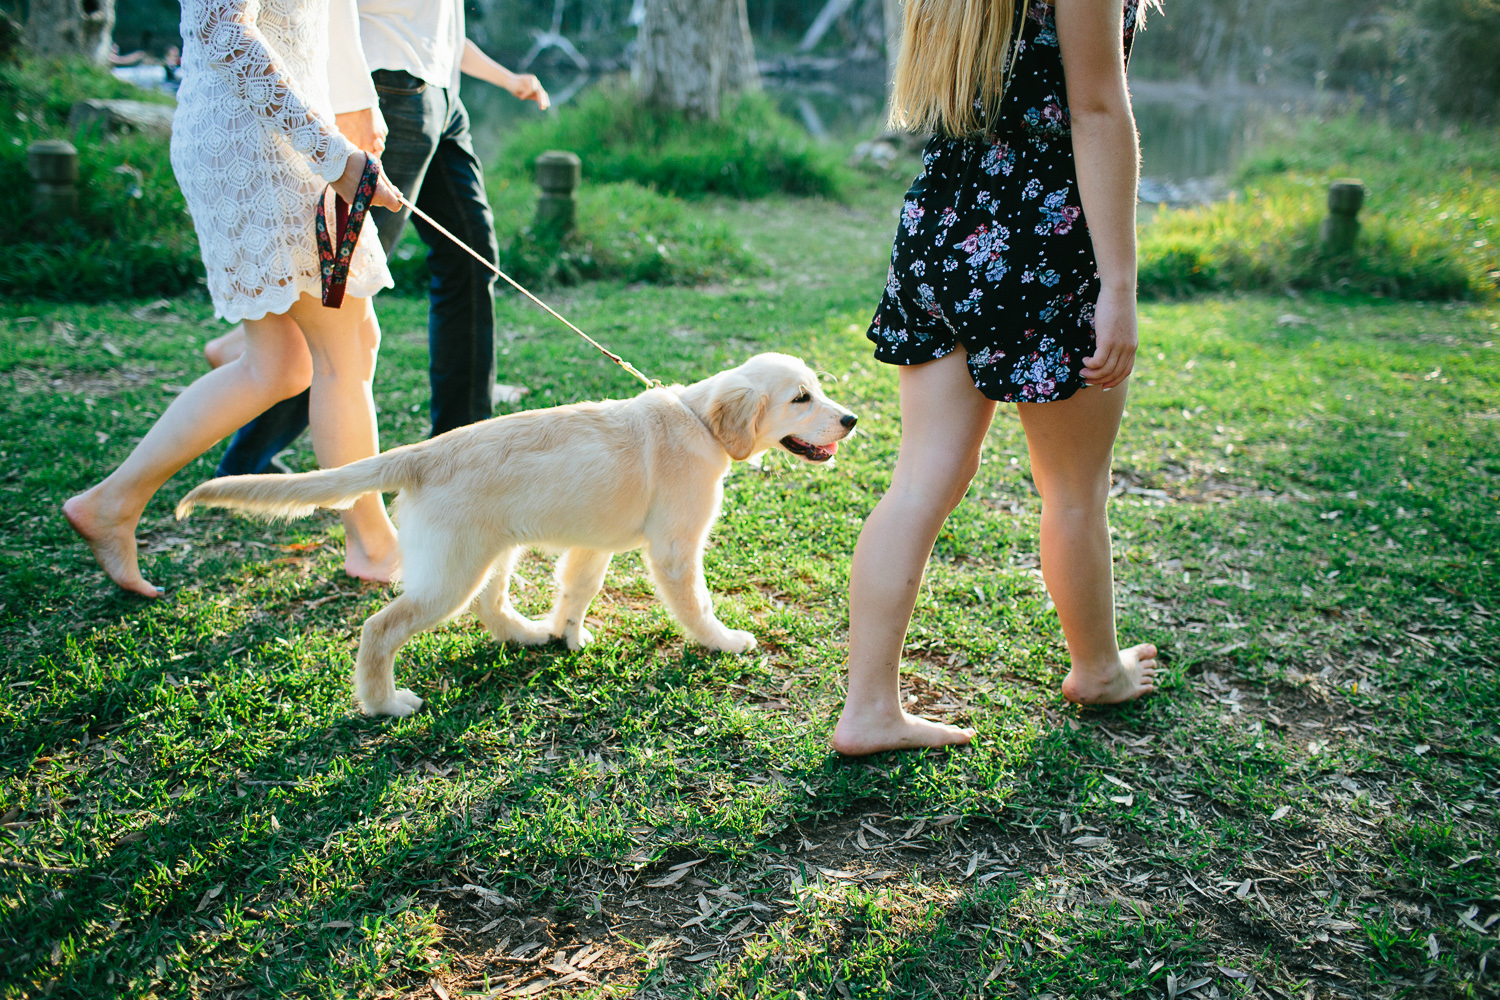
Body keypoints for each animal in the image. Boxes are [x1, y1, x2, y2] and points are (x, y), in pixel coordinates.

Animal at [178, 355, 858, 716]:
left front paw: (567, 635)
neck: (698, 421)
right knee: (379, 628)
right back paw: (383, 703)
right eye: (801, 398)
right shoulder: (674, 550)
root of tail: (421, 453)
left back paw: (528, 635)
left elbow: (577, 590)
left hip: (491, 552)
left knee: (491, 607)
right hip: (451, 574)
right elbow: (696, 605)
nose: (852, 419)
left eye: (821, 389)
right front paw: (724, 642)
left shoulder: (592, 546)